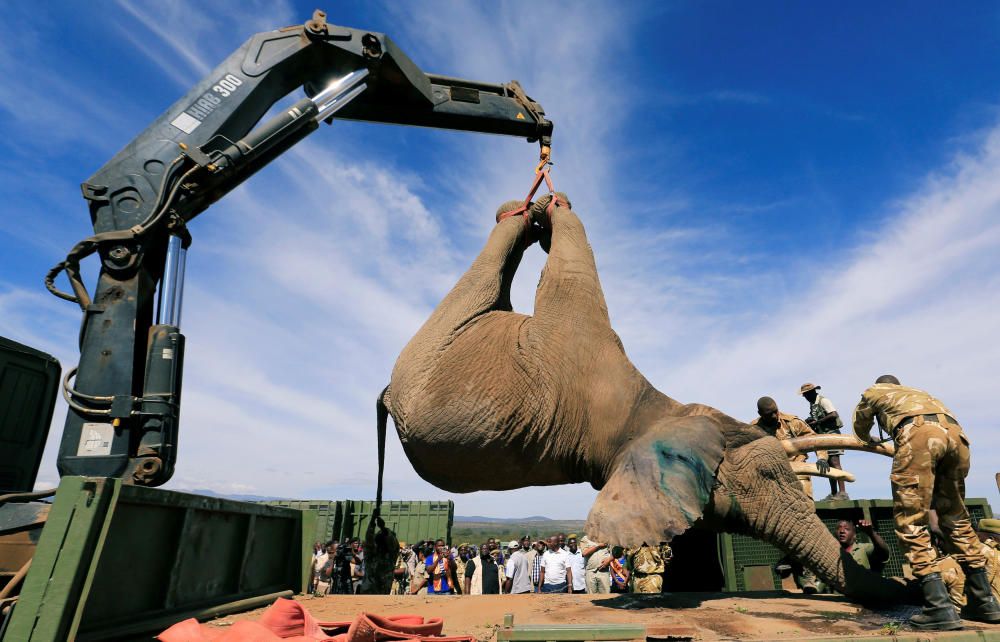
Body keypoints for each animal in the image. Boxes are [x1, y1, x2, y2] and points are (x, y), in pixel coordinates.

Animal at [378, 190, 904, 600]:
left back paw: (525, 211)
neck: (656, 407)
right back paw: (528, 210)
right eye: (769, 476)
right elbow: (572, 266)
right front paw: (557, 207)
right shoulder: (574, 333)